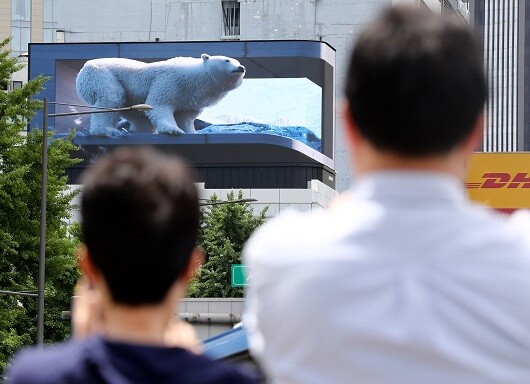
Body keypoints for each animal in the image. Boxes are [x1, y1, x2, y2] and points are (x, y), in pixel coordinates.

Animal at [75, 53, 245, 137]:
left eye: (237, 61)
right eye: (227, 60)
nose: (241, 67)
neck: (195, 78)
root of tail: (82, 70)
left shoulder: (190, 97)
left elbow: (186, 117)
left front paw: (191, 132)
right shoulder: (170, 80)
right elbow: (159, 104)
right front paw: (173, 130)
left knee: (139, 118)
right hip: (101, 75)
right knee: (111, 98)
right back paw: (107, 131)